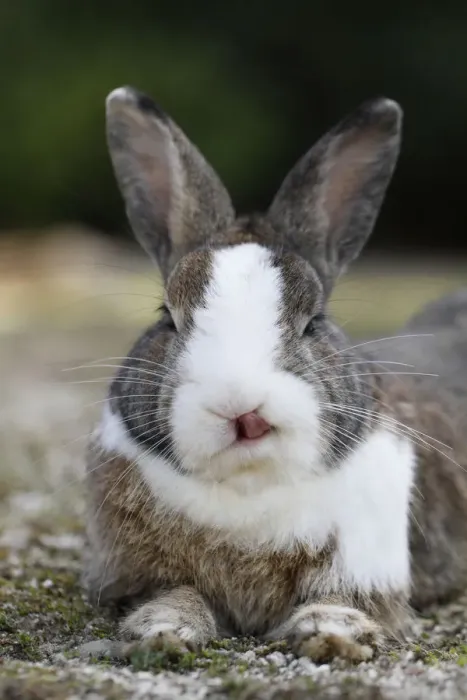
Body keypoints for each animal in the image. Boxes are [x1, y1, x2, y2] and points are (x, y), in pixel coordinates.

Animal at [82, 85, 467, 663]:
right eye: (167, 316)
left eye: (314, 322)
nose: (241, 407)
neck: (249, 489)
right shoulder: (141, 573)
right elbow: (175, 593)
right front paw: (162, 632)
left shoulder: (365, 567)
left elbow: (342, 600)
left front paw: (332, 636)